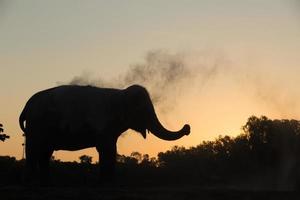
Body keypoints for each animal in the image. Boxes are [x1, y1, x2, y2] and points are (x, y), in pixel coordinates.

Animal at [19, 84, 190, 184]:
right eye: (142, 109)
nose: (187, 127)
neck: (120, 94)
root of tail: (26, 106)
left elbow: (111, 150)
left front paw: (109, 181)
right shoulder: (103, 125)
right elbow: (106, 150)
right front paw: (106, 182)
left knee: (44, 154)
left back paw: (45, 183)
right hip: (36, 127)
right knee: (33, 152)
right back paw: (30, 183)